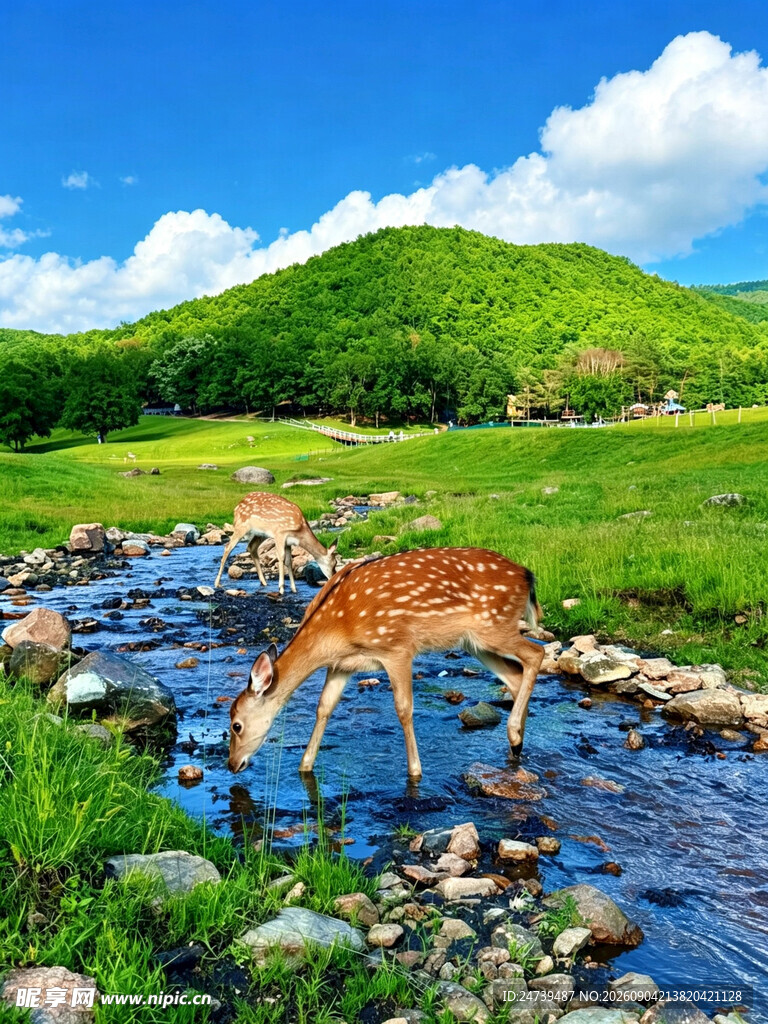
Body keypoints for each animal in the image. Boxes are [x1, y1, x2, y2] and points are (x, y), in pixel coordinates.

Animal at [227, 547, 544, 780]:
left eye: (236, 725)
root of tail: (528, 576)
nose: (232, 764)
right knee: (515, 674)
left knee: (536, 654)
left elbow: (403, 709)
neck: (339, 630)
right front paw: (305, 767)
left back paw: (515, 736)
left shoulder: (396, 647)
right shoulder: (342, 666)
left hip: (494, 625)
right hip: (475, 642)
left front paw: (415, 772)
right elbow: (324, 708)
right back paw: (517, 747)